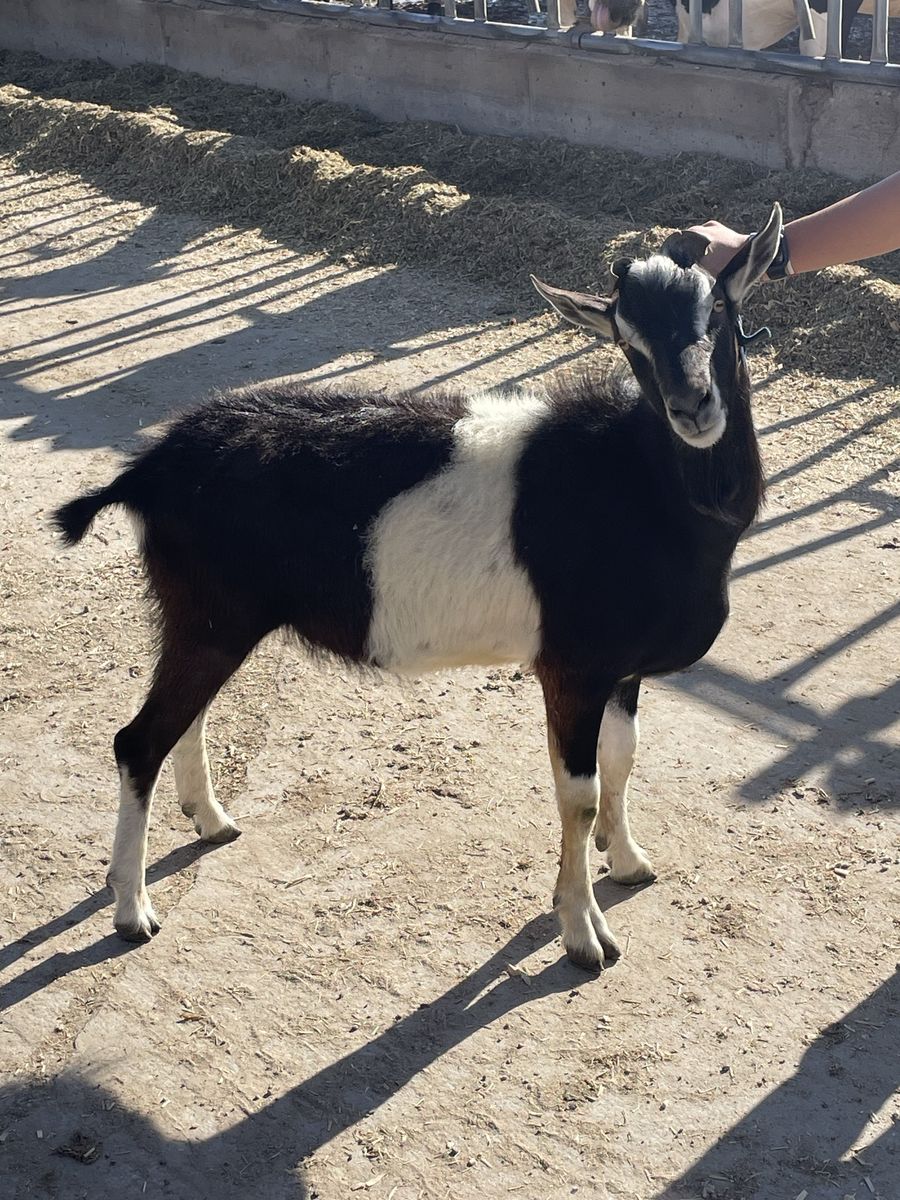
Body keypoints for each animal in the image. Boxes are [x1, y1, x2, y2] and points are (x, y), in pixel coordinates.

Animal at [53, 205, 782, 971]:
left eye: (720, 309)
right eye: (629, 341)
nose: (693, 406)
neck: (645, 484)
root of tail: (150, 468)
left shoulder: (622, 669)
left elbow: (622, 758)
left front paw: (630, 861)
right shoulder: (572, 667)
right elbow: (577, 796)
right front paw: (584, 934)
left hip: (209, 624)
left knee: (184, 720)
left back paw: (211, 821)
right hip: (208, 618)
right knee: (138, 741)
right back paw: (132, 911)